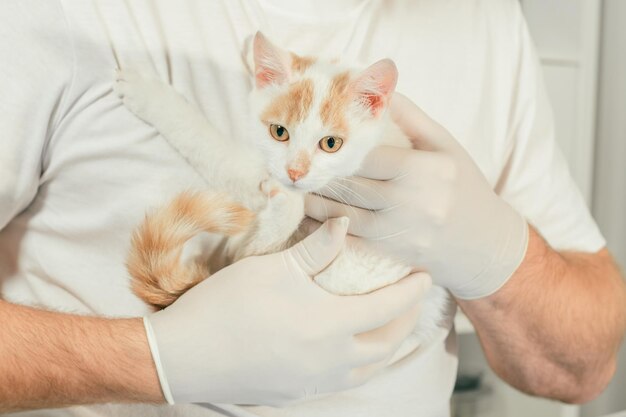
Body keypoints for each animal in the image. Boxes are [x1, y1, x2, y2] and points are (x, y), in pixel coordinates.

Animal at [114, 30, 450, 346]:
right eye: (279, 132)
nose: (294, 172)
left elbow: (209, 145)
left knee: (249, 255)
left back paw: (284, 210)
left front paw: (147, 93)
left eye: (331, 143)